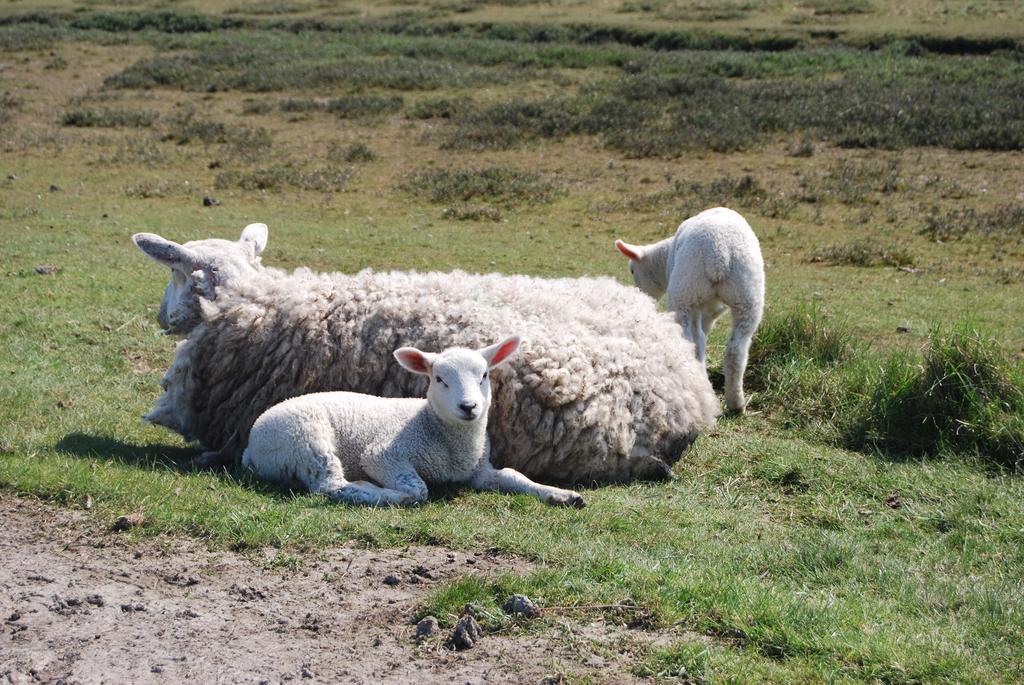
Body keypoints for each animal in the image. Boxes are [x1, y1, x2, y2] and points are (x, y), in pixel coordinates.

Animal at [240, 335, 589, 507]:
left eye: (484, 375)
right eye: (439, 379)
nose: (469, 407)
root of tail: (250, 447)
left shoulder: (478, 471)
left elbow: (514, 476)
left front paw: (561, 494)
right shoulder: (381, 455)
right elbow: (418, 487)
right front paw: (398, 491)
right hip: (305, 441)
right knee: (332, 486)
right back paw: (378, 493)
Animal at [614, 205, 761, 411]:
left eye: (633, 271)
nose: (640, 296)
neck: (665, 259)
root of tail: (719, 253)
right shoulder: (713, 308)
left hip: (685, 292)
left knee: (693, 341)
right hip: (747, 295)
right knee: (736, 349)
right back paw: (736, 403)